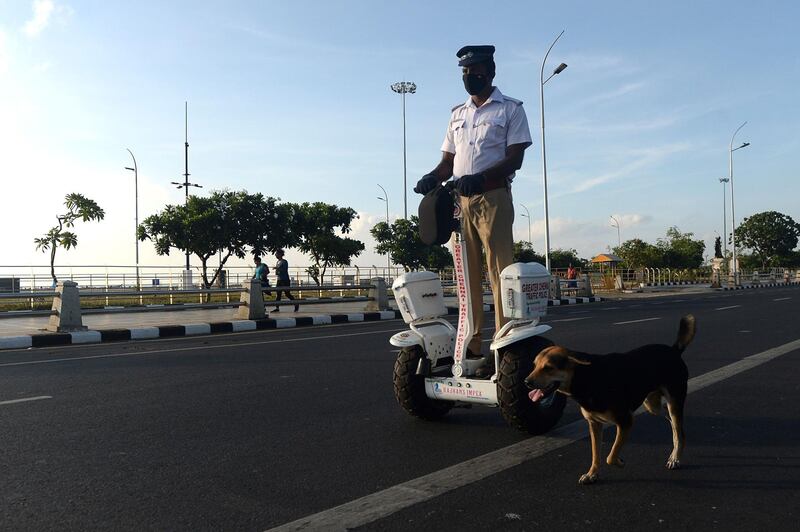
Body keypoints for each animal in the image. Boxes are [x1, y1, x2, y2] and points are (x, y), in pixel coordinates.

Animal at [524, 314, 692, 484]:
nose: (526, 382)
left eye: (548, 368)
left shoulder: (625, 421)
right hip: (652, 404)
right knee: (672, 421)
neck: (586, 377)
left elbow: (610, 456)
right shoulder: (594, 424)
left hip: (674, 400)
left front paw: (619, 462)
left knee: (678, 427)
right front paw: (592, 474)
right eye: (534, 365)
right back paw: (675, 445)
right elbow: (595, 454)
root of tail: (673, 350)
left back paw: (676, 457)